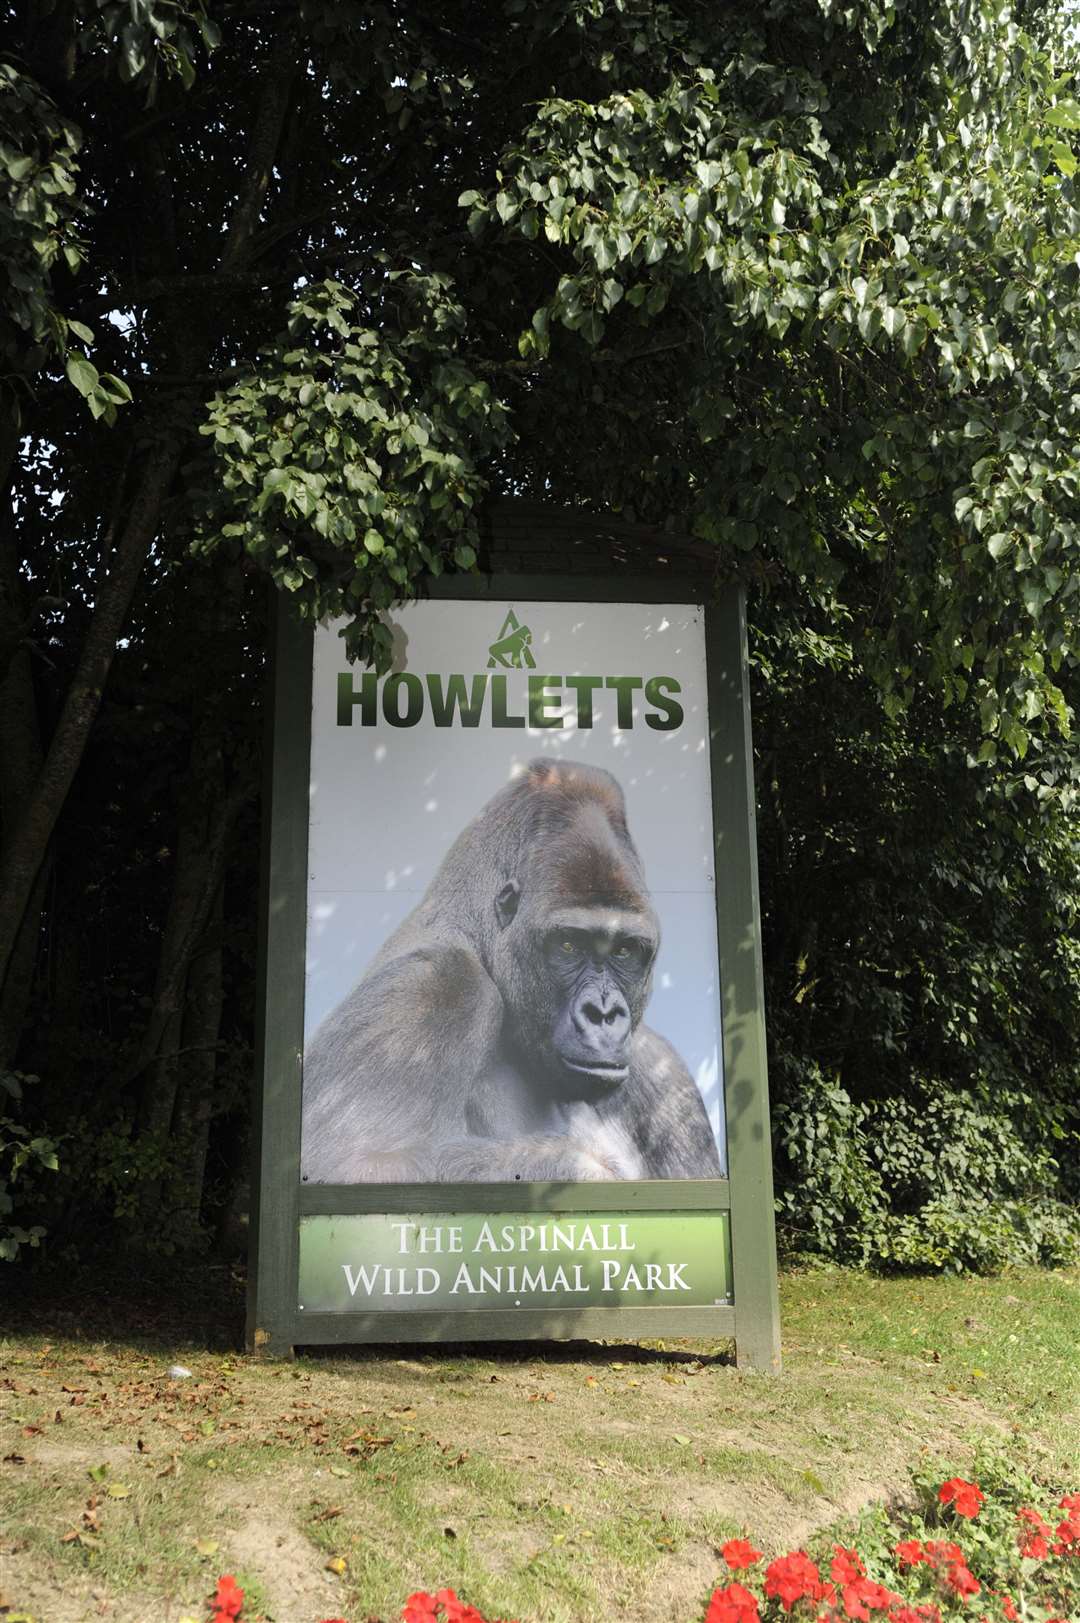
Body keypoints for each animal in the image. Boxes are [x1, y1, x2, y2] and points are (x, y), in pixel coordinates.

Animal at [303, 753, 721, 1188]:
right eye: (568, 945)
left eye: (624, 951)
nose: (603, 1014)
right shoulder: (434, 985)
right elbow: (352, 1164)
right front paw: (582, 1169)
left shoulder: (664, 1071)